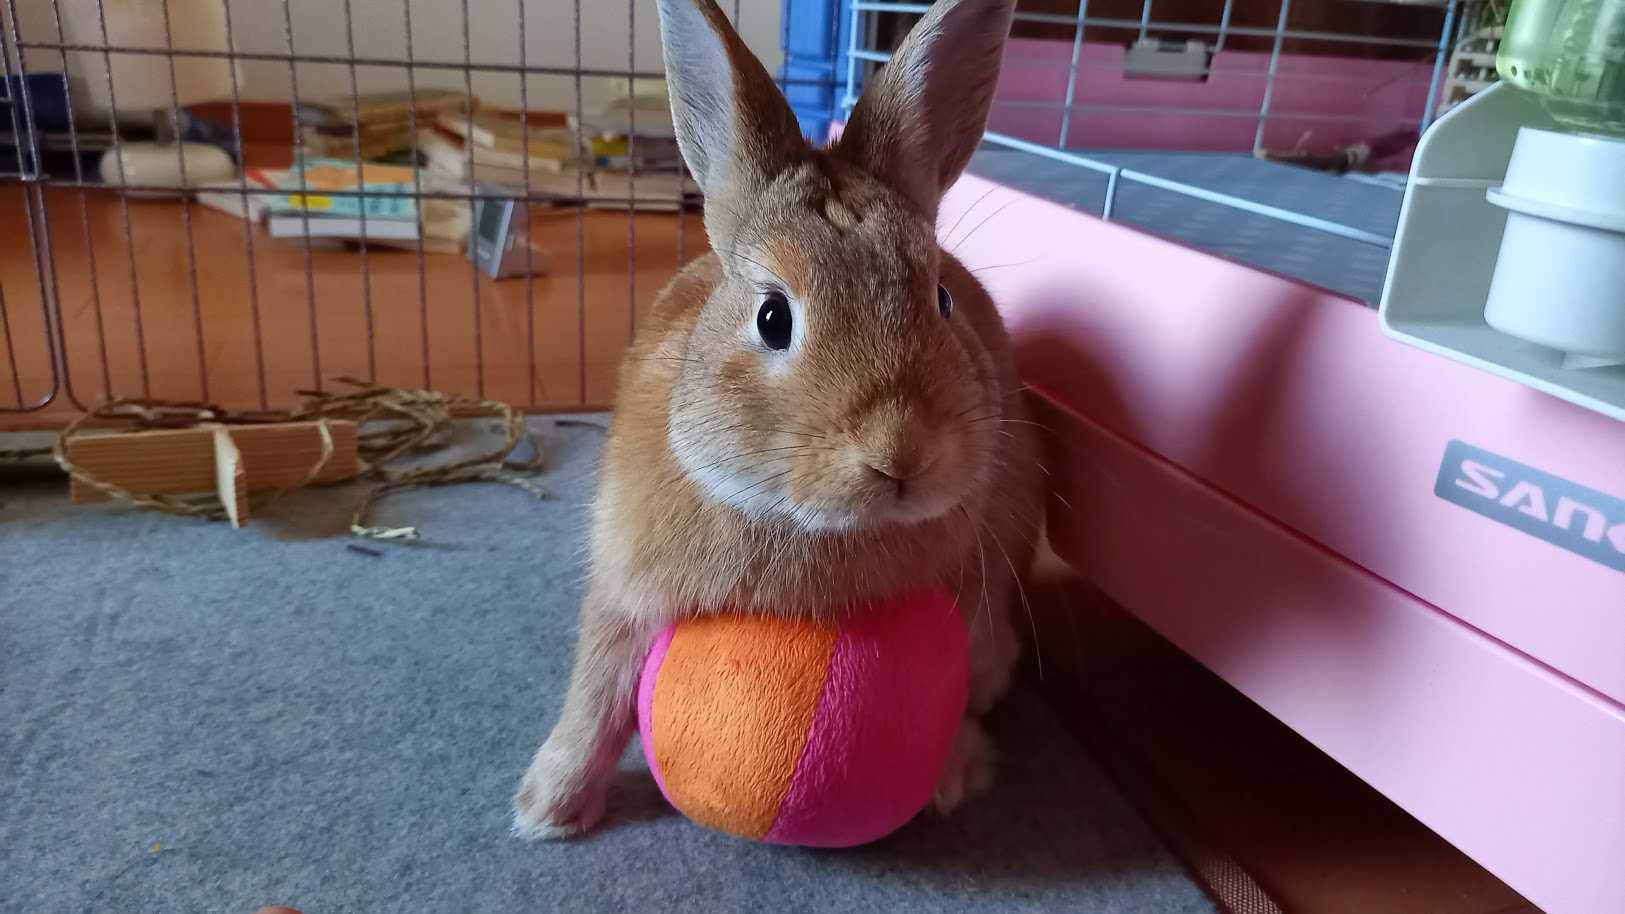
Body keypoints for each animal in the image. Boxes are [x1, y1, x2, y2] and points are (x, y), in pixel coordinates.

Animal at [510, 0, 1040, 839]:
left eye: (942, 299)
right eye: (771, 318)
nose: (900, 453)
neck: (803, 526)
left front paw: (957, 776)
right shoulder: (624, 589)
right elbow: (595, 692)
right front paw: (548, 808)